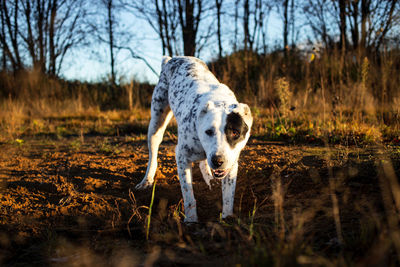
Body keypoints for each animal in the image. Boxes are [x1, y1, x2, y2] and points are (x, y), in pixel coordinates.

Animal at [136, 55, 252, 223]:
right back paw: (147, 180)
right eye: (208, 131)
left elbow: (228, 197)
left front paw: (227, 219)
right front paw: (191, 221)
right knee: (153, 152)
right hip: (156, 122)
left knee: (204, 162)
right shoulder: (182, 157)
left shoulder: (232, 165)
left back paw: (209, 178)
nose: (217, 160)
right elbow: (188, 196)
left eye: (235, 133)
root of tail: (171, 58)